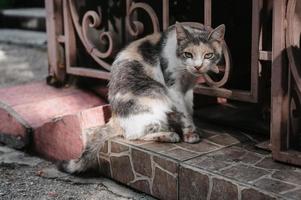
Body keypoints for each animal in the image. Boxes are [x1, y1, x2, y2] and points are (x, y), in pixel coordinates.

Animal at [57, 22, 224, 173]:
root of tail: (115, 117)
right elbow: (184, 113)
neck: (186, 74)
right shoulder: (173, 88)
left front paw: (194, 129)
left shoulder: (188, 90)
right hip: (156, 92)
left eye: (208, 55)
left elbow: (189, 110)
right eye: (188, 54)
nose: (198, 66)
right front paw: (190, 134)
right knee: (132, 135)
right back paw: (169, 135)